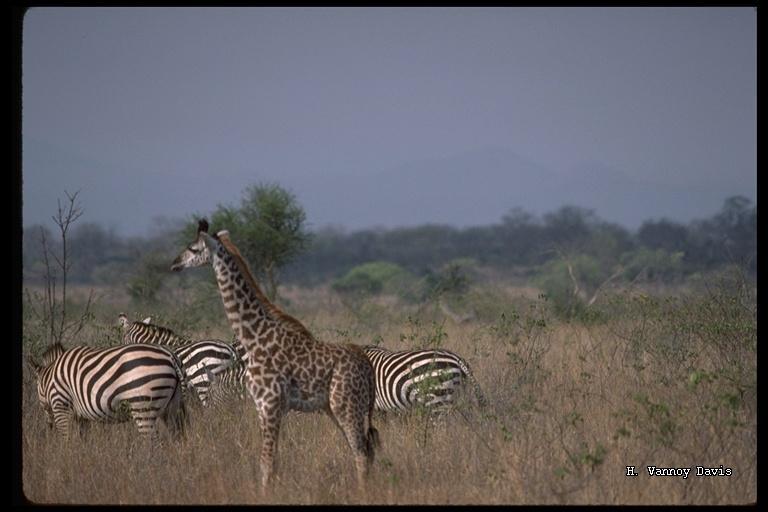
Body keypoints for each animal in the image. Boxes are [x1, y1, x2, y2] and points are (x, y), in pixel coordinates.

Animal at [29, 344, 188, 436]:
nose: (48, 427)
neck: (48, 379)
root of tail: (170, 355)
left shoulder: (60, 405)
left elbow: (65, 438)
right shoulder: (82, 417)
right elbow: (83, 440)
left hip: (143, 406)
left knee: (151, 442)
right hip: (171, 407)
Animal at [172, 219, 380, 488]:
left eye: (193, 248)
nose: (174, 263)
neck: (255, 338)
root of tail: (367, 367)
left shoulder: (268, 404)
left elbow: (266, 463)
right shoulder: (266, 407)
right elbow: (274, 461)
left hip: (346, 405)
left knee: (361, 453)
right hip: (337, 408)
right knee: (364, 450)